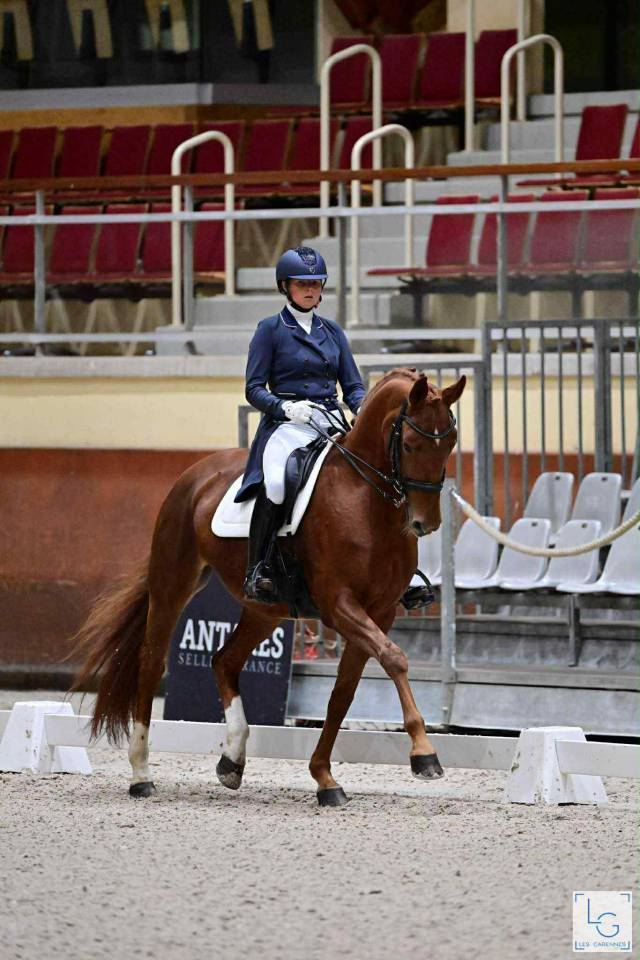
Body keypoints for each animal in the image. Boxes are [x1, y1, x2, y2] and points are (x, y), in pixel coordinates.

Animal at [71, 367, 466, 806]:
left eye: (450, 442)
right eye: (411, 444)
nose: (424, 523)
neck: (364, 500)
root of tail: (196, 473)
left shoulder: (379, 612)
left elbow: (343, 693)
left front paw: (325, 778)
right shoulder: (338, 605)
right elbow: (395, 659)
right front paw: (424, 753)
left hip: (266, 608)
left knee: (224, 660)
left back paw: (232, 760)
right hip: (172, 584)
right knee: (151, 662)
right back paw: (141, 773)